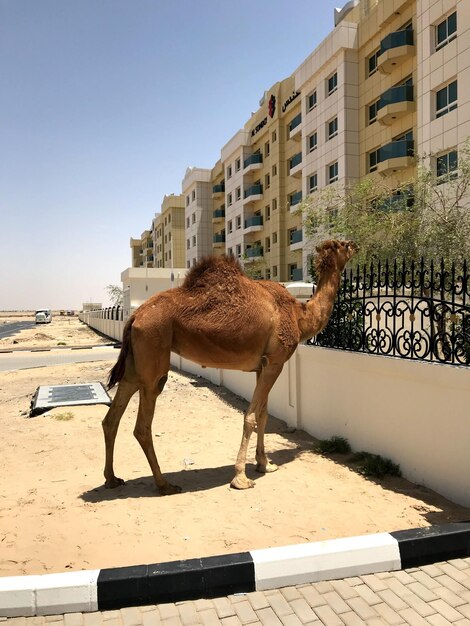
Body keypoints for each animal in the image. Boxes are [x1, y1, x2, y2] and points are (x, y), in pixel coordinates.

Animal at [103, 239, 356, 492]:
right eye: (343, 245)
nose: (355, 245)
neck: (299, 314)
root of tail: (134, 317)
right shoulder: (275, 362)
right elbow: (251, 417)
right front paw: (241, 478)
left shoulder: (262, 366)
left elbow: (263, 415)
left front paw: (265, 464)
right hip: (153, 352)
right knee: (142, 425)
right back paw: (164, 484)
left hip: (134, 364)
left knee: (112, 417)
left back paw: (112, 478)